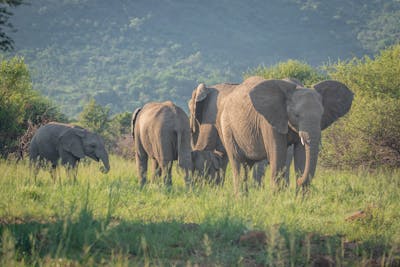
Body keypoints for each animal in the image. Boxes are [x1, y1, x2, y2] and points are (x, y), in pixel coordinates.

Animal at [191, 76, 354, 196]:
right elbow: (278, 154)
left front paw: (301, 199)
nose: (298, 181)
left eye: (321, 116)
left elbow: (301, 154)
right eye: (296, 115)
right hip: (226, 127)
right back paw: (240, 197)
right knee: (237, 162)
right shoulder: (268, 122)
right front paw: (278, 199)